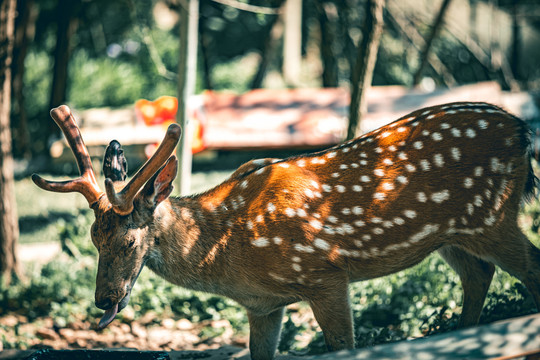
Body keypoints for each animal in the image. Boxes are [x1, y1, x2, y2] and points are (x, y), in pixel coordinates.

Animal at [34, 102, 540, 358]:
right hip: (451, 233)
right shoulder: (263, 306)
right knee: (478, 276)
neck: (230, 252)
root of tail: (522, 130)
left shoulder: (325, 274)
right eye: (93, 239)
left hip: (493, 216)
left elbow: (342, 346)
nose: (103, 299)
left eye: (129, 240)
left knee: (527, 269)